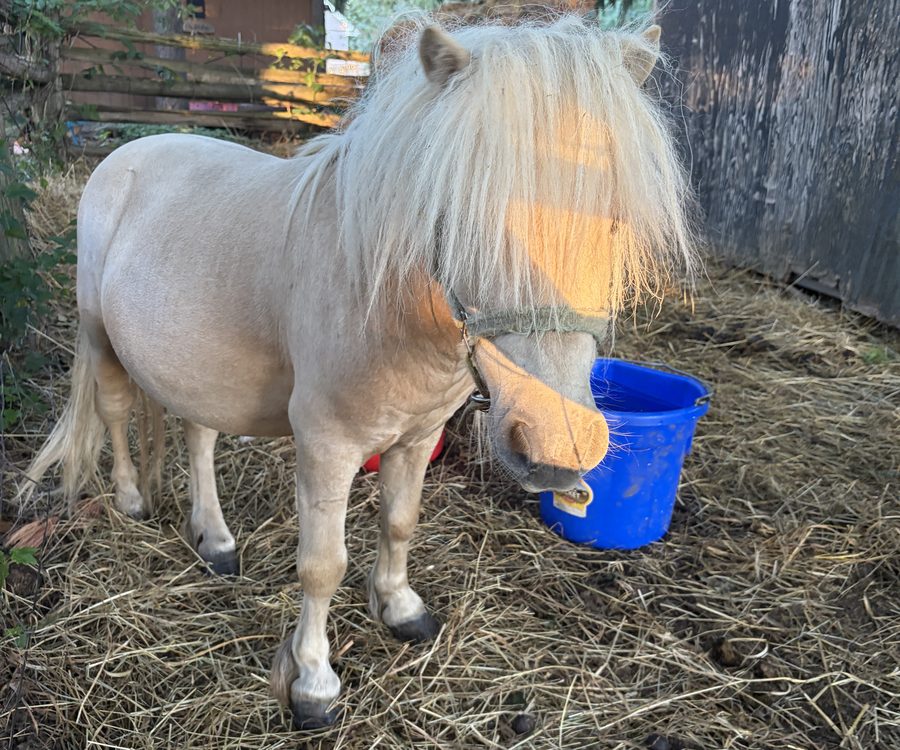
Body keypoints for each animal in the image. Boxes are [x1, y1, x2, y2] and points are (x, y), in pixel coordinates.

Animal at [21, 14, 694, 729]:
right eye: (458, 215)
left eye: (615, 221)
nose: (558, 447)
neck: (385, 300)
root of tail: (132, 150)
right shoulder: (327, 446)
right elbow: (322, 566)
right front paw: (313, 683)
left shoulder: (417, 436)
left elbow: (400, 524)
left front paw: (400, 609)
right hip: (100, 336)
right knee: (116, 412)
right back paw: (129, 500)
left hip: (200, 366)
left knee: (199, 435)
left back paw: (216, 540)